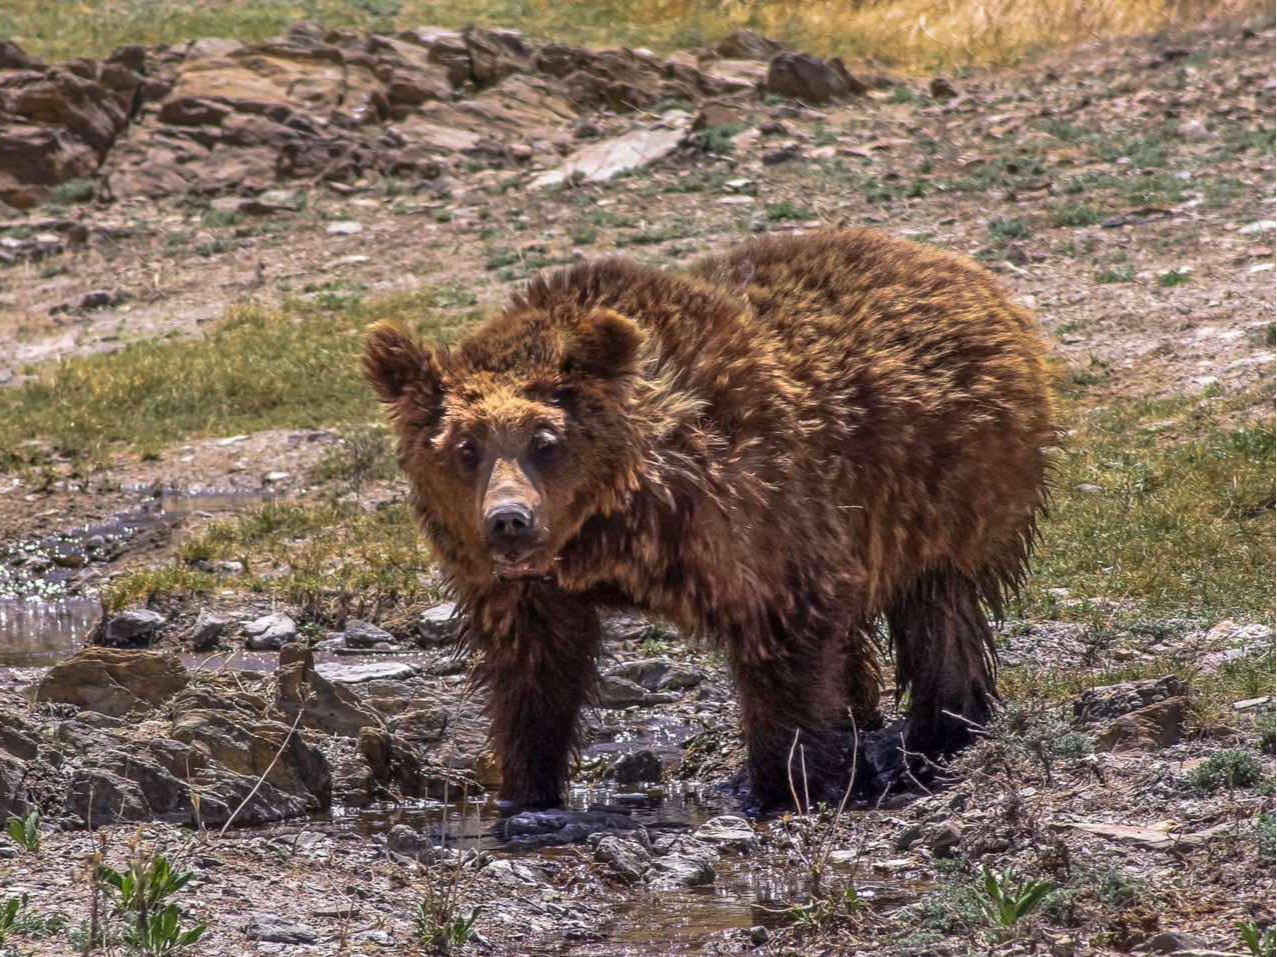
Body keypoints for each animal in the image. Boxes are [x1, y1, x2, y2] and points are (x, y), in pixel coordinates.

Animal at [365, 227, 1052, 812]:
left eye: (545, 441)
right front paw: (525, 787)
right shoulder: (528, 589)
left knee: (937, 606)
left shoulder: (749, 513)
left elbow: (785, 630)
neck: (612, 524)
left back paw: (942, 727)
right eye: (465, 448)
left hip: (948, 482)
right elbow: (533, 670)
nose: (509, 520)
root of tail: (963, 272)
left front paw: (782, 784)